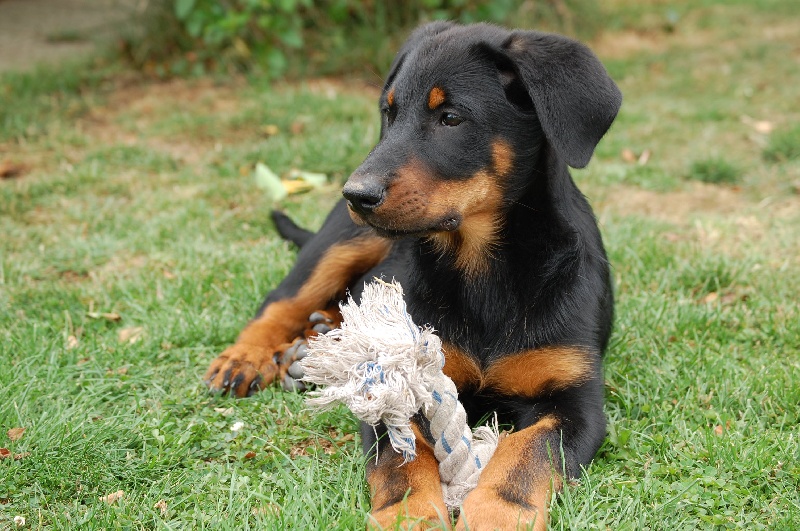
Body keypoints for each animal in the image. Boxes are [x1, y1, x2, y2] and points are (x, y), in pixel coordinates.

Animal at [203, 21, 620, 531]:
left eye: (451, 118)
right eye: (390, 112)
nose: (355, 194)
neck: (483, 269)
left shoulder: (575, 402)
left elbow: (526, 457)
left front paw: (495, 515)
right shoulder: (399, 383)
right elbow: (401, 458)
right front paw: (410, 515)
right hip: (342, 242)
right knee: (281, 300)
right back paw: (247, 357)